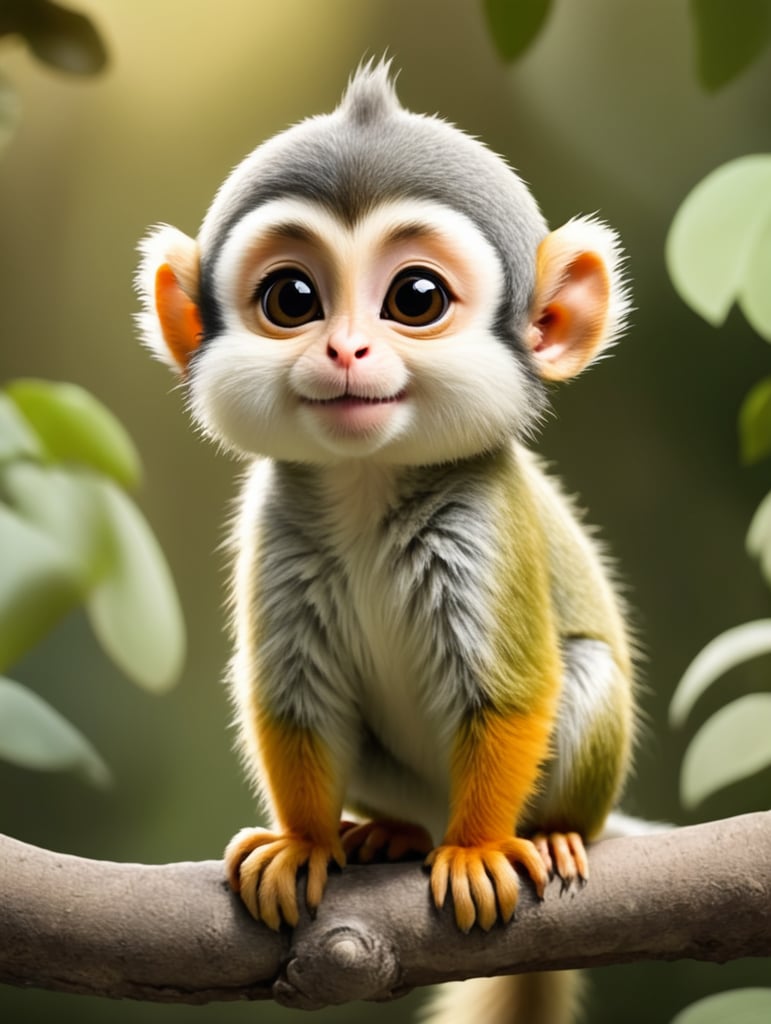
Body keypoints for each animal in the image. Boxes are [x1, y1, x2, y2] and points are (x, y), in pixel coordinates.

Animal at [137, 61, 635, 1024]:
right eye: (292, 299)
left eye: (415, 298)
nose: (345, 350)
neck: (366, 487)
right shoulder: (275, 517)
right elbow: (289, 693)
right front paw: (302, 840)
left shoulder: (482, 515)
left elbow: (511, 693)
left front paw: (478, 849)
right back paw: (393, 830)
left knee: (583, 676)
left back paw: (546, 833)